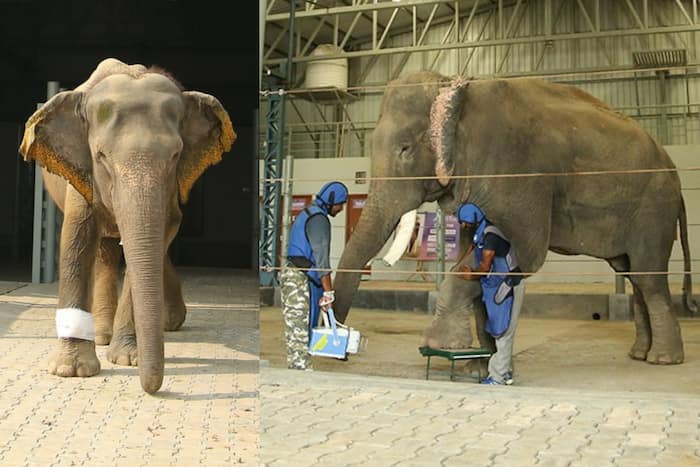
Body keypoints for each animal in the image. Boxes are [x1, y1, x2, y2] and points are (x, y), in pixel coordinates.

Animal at [18, 59, 238, 394]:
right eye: (100, 155)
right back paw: (101, 335)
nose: (153, 388)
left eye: (176, 155)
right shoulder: (81, 172)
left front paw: (127, 359)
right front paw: (72, 370)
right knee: (104, 252)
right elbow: (76, 238)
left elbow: (161, 234)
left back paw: (166, 323)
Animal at [332, 70, 696, 366]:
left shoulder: (519, 171)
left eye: (405, 149)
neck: (458, 88)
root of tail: (675, 175)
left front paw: (440, 344)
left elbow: (524, 254)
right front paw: (477, 364)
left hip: (653, 210)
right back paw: (639, 354)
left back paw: (663, 360)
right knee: (633, 273)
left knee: (648, 277)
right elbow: (478, 255)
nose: (344, 352)